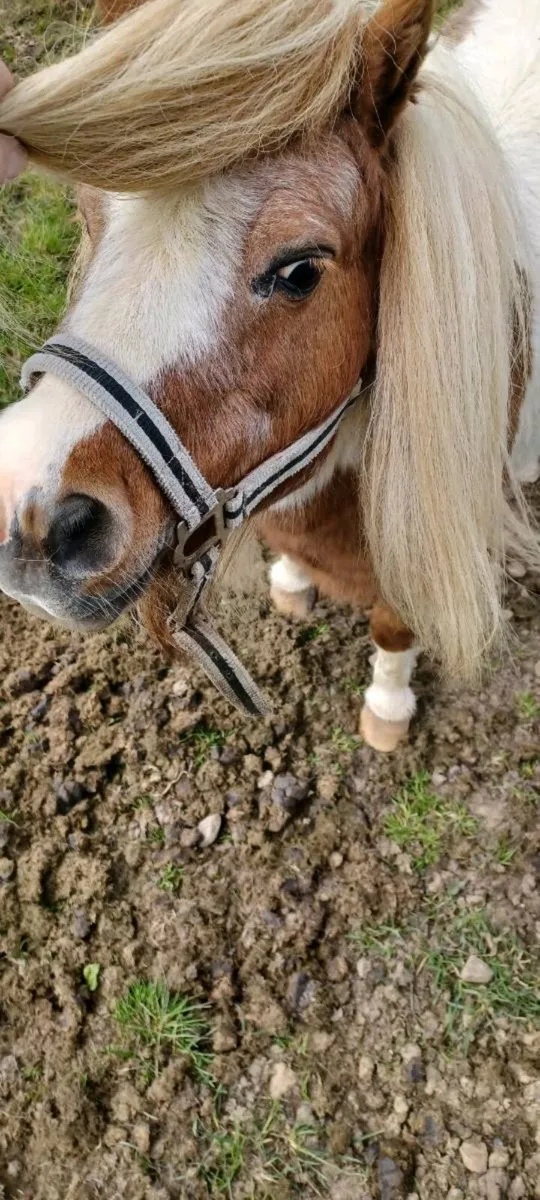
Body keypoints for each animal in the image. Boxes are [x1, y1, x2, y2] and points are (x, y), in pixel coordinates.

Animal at [0, 0, 539, 750]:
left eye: (301, 270)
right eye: (87, 215)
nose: (28, 515)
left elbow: (392, 630)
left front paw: (387, 707)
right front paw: (290, 582)